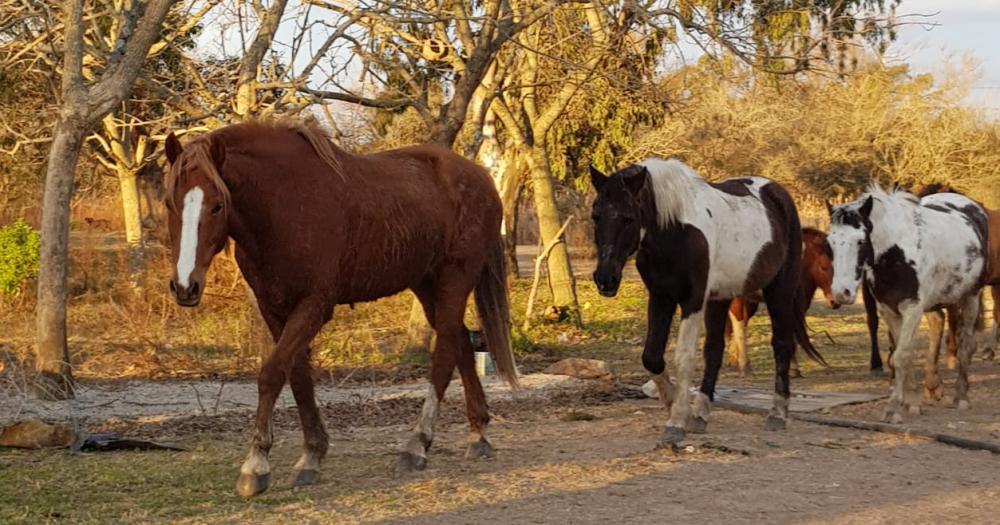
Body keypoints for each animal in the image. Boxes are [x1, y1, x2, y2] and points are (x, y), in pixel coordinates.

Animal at [163, 118, 516, 496]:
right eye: (170, 203)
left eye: (217, 205)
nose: (185, 286)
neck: (285, 205)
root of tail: (481, 176)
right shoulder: (274, 309)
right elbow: (297, 376)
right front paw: (311, 456)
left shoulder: (315, 306)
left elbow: (272, 373)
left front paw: (255, 466)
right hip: (426, 283)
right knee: (461, 341)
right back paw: (478, 434)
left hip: (454, 278)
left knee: (445, 352)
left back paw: (417, 445)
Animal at [588, 159, 824, 442]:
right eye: (596, 216)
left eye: (628, 218)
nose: (605, 279)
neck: (675, 231)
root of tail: (778, 193)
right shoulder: (661, 297)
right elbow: (652, 357)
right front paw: (675, 406)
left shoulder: (693, 300)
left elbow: (684, 357)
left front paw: (677, 421)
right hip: (722, 297)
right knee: (714, 350)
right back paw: (701, 413)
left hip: (779, 290)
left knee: (781, 344)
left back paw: (777, 414)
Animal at [824, 184, 988, 422]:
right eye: (830, 242)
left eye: (860, 241)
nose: (841, 293)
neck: (896, 254)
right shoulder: (889, 311)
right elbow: (902, 355)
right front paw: (912, 402)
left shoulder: (911, 308)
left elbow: (901, 355)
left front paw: (893, 408)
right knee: (937, 325)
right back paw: (934, 386)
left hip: (971, 297)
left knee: (966, 343)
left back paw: (961, 397)